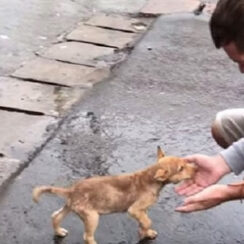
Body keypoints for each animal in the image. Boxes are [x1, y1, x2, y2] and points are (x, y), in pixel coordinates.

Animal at [33, 147, 196, 244]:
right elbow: (147, 221)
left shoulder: (142, 210)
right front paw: (146, 232)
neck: (151, 178)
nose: (195, 169)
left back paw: (59, 232)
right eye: (181, 168)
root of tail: (72, 190)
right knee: (87, 236)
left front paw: (146, 233)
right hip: (92, 217)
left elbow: (144, 222)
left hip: (69, 207)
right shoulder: (134, 210)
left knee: (56, 216)